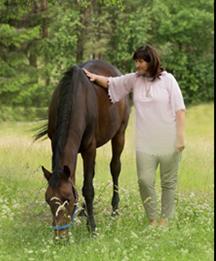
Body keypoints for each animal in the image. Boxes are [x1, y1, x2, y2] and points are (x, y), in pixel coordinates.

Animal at [34, 59, 131, 238]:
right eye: (48, 199)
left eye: (68, 200)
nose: (60, 236)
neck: (75, 98)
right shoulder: (55, 144)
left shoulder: (89, 149)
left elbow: (88, 188)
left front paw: (92, 227)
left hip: (119, 134)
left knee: (115, 168)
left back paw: (114, 211)